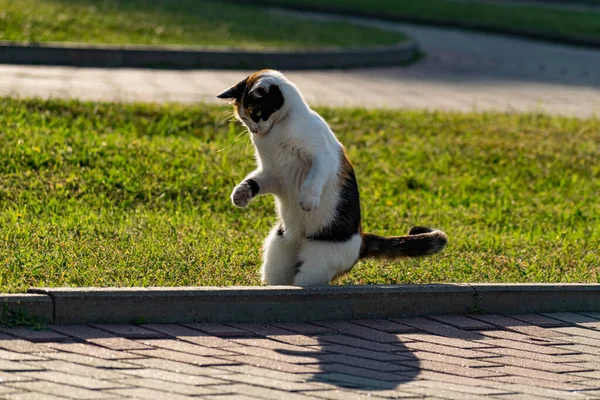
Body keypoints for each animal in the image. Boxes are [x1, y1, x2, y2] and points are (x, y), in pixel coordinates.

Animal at [218, 69, 448, 288]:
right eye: (244, 119)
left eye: (257, 114)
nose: (254, 129)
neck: (277, 132)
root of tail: (361, 239)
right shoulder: (273, 175)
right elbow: (254, 181)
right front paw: (240, 194)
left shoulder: (322, 157)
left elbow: (315, 177)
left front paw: (308, 200)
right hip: (278, 251)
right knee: (279, 276)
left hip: (317, 260)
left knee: (305, 277)